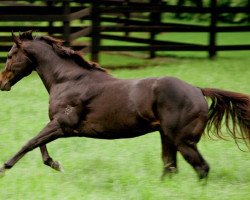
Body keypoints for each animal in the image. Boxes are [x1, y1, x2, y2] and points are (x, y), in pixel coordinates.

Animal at [0, 31, 249, 180]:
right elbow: (39, 145)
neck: (68, 80)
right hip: (167, 137)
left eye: (10, 55)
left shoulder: (62, 124)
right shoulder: (58, 124)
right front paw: (56, 164)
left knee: (201, 168)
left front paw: (4, 169)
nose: (2, 83)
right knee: (170, 167)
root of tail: (198, 90)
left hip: (183, 140)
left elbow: (30, 143)